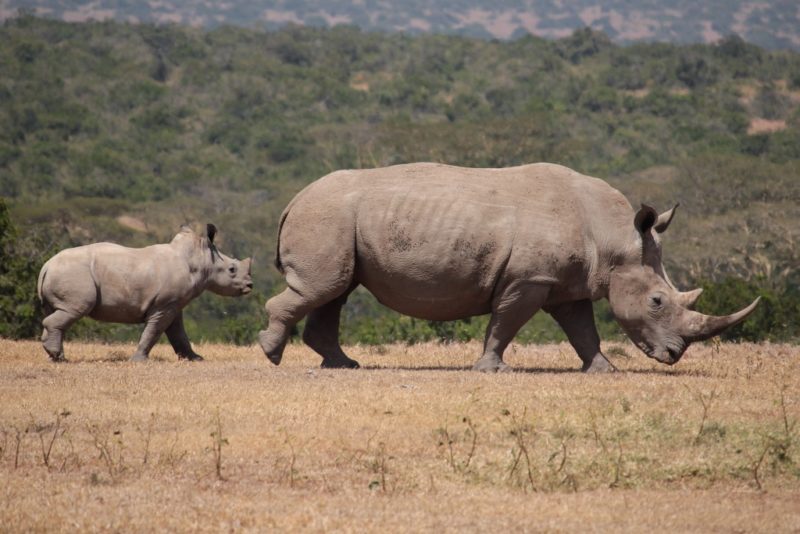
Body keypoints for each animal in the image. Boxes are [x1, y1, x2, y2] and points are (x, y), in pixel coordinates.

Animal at [38, 224, 253, 362]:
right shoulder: (164, 304)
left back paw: (55, 358)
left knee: (57, 311)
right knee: (74, 310)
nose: (250, 285)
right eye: (232, 269)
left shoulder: (174, 304)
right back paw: (58, 357)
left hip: (63, 274)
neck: (201, 260)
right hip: (73, 275)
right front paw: (139, 360)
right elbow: (155, 331)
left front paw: (195, 358)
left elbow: (178, 333)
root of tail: (46, 266)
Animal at [258, 162, 759, 372]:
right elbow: (506, 322)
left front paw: (603, 370)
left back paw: (344, 365)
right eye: (656, 301)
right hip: (327, 216)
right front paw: (491, 370)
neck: (614, 235)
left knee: (336, 289)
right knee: (323, 288)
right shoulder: (529, 279)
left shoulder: (567, 283)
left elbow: (583, 331)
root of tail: (295, 199)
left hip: (339, 221)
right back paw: (272, 354)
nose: (674, 355)